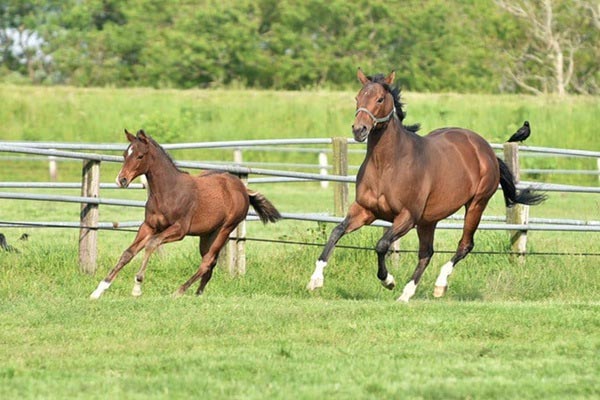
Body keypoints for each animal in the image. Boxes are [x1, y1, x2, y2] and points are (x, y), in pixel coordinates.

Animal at [90, 130, 282, 298]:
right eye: (124, 154)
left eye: (140, 156)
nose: (121, 180)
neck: (168, 192)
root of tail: (243, 189)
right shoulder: (148, 226)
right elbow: (128, 253)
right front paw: (98, 290)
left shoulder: (179, 230)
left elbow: (151, 244)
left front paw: (137, 287)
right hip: (208, 234)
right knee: (210, 263)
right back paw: (198, 293)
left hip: (225, 229)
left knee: (206, 262)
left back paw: (179, 291)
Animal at [308, 69, 548, 300]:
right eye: (357, 98)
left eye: (379, 99)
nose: (359, 130)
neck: (387, 165)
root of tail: (485, 148)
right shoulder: (366, 210)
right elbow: (336, 231)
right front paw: (315, 281)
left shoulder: (407, 217)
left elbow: (381, 245)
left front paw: (388, 281)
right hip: (428, 220)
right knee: (427, 253)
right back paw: (406, 294)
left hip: (475, 205)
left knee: (464, 245)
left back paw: (438, 286)